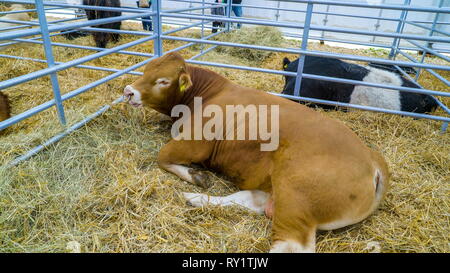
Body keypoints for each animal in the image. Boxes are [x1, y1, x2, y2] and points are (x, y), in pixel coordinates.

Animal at [123, 52, 390, 252]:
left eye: (163, 81)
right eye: (146, 70)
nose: (128, 91)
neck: (206, 96)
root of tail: (372, 161)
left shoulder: (194, 142)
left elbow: (162, 156)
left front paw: (194, 175)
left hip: (296, 196)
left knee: (288, 244)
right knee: (252, 200)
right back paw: (195, 199)